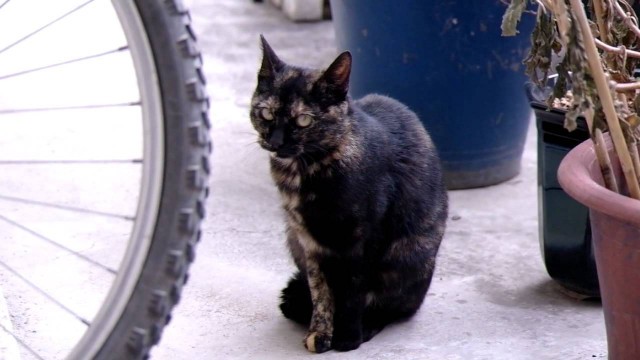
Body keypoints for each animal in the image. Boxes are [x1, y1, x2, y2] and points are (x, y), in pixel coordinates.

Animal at [248, 35, 448, 352]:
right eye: (266, 113)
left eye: (303, 120)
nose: (276, 142)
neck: (309, 169)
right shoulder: (308, 241)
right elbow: (321, 291)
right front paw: (320, 333)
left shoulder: (365, 238)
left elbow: (354, 292)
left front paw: (348, 338)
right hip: (292, 239)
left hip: (407, 252)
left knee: (395, 307)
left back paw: (370, 325)